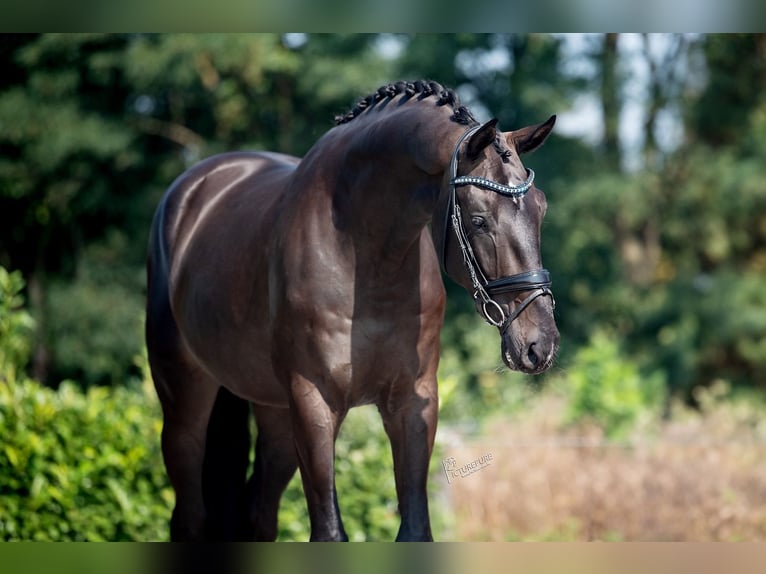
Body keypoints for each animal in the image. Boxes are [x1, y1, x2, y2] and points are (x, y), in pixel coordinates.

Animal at [147, 81, 560, 544]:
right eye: (478, 219)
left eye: (541, 208)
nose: (539, 344)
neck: (365, 254)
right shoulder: (314, 401)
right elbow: (329, 531)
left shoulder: (412, 401)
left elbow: (415, 528)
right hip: (185, 406)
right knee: (189, 514)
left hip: (275, 416)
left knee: (258, 512)